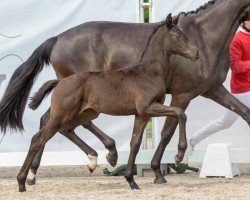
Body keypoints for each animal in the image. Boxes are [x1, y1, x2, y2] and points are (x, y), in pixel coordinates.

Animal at [16, 14, 198, 192]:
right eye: (177, 35)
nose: (196, 53)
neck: (149, 72)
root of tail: (60, 82)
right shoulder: (147, 107)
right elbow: (180, 113)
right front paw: (179, 155)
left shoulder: (141, 114)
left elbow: (135, 143)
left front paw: (131, 181)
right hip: (62, 114)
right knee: (38, 138)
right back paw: (22, 182)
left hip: (86, 113)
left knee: (66, 129)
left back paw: (94, 160)